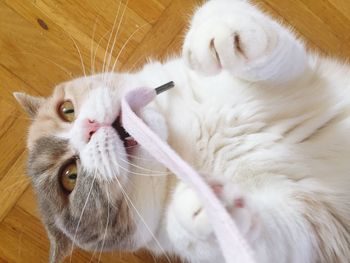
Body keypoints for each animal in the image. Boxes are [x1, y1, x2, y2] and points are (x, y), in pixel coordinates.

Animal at [13, 0, 350, 263]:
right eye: (70, 177)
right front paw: (210, 208)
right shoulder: (312, 230)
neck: (186, 139)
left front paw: (218, 34)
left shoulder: (298, 79)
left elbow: (261, 44)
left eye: (67, 110)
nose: (88, 128)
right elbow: (277, 238)